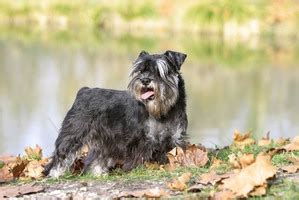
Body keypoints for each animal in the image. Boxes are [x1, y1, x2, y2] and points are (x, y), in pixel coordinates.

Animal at [44, 49, 189, 177]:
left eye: (160, 71)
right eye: (140, 70)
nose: (145, 80)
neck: (162, 112)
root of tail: (83, 91)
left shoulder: (174, 139)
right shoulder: (140, 140)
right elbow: (138, 157)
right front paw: (136, 170)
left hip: (103, 141)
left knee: (96, 157)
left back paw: (98, 174)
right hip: (73, 134)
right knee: (62, 154)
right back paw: (55, 174)